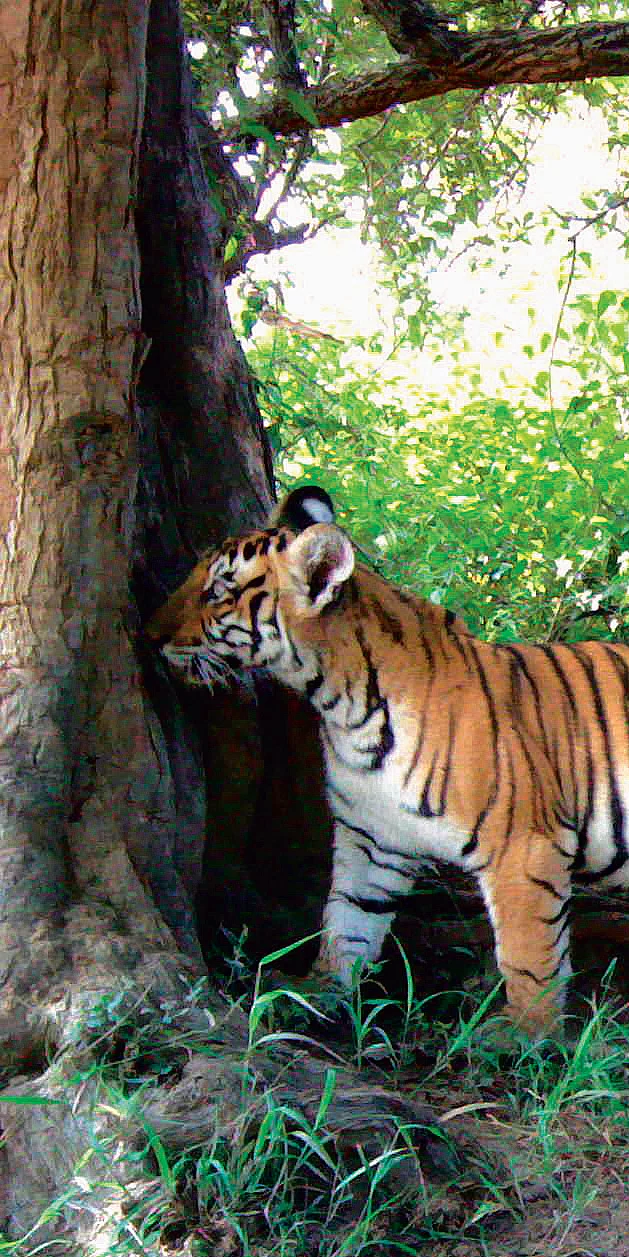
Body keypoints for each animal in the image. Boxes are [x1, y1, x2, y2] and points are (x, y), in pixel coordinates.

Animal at [146, 485, 629, 1036]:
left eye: (219, 591)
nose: (148, 634)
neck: (343, 709)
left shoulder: (523, 847)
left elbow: (529, 956)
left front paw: (523, 1035)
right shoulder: (372, 840)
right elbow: (345, 924)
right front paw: (312, 995)